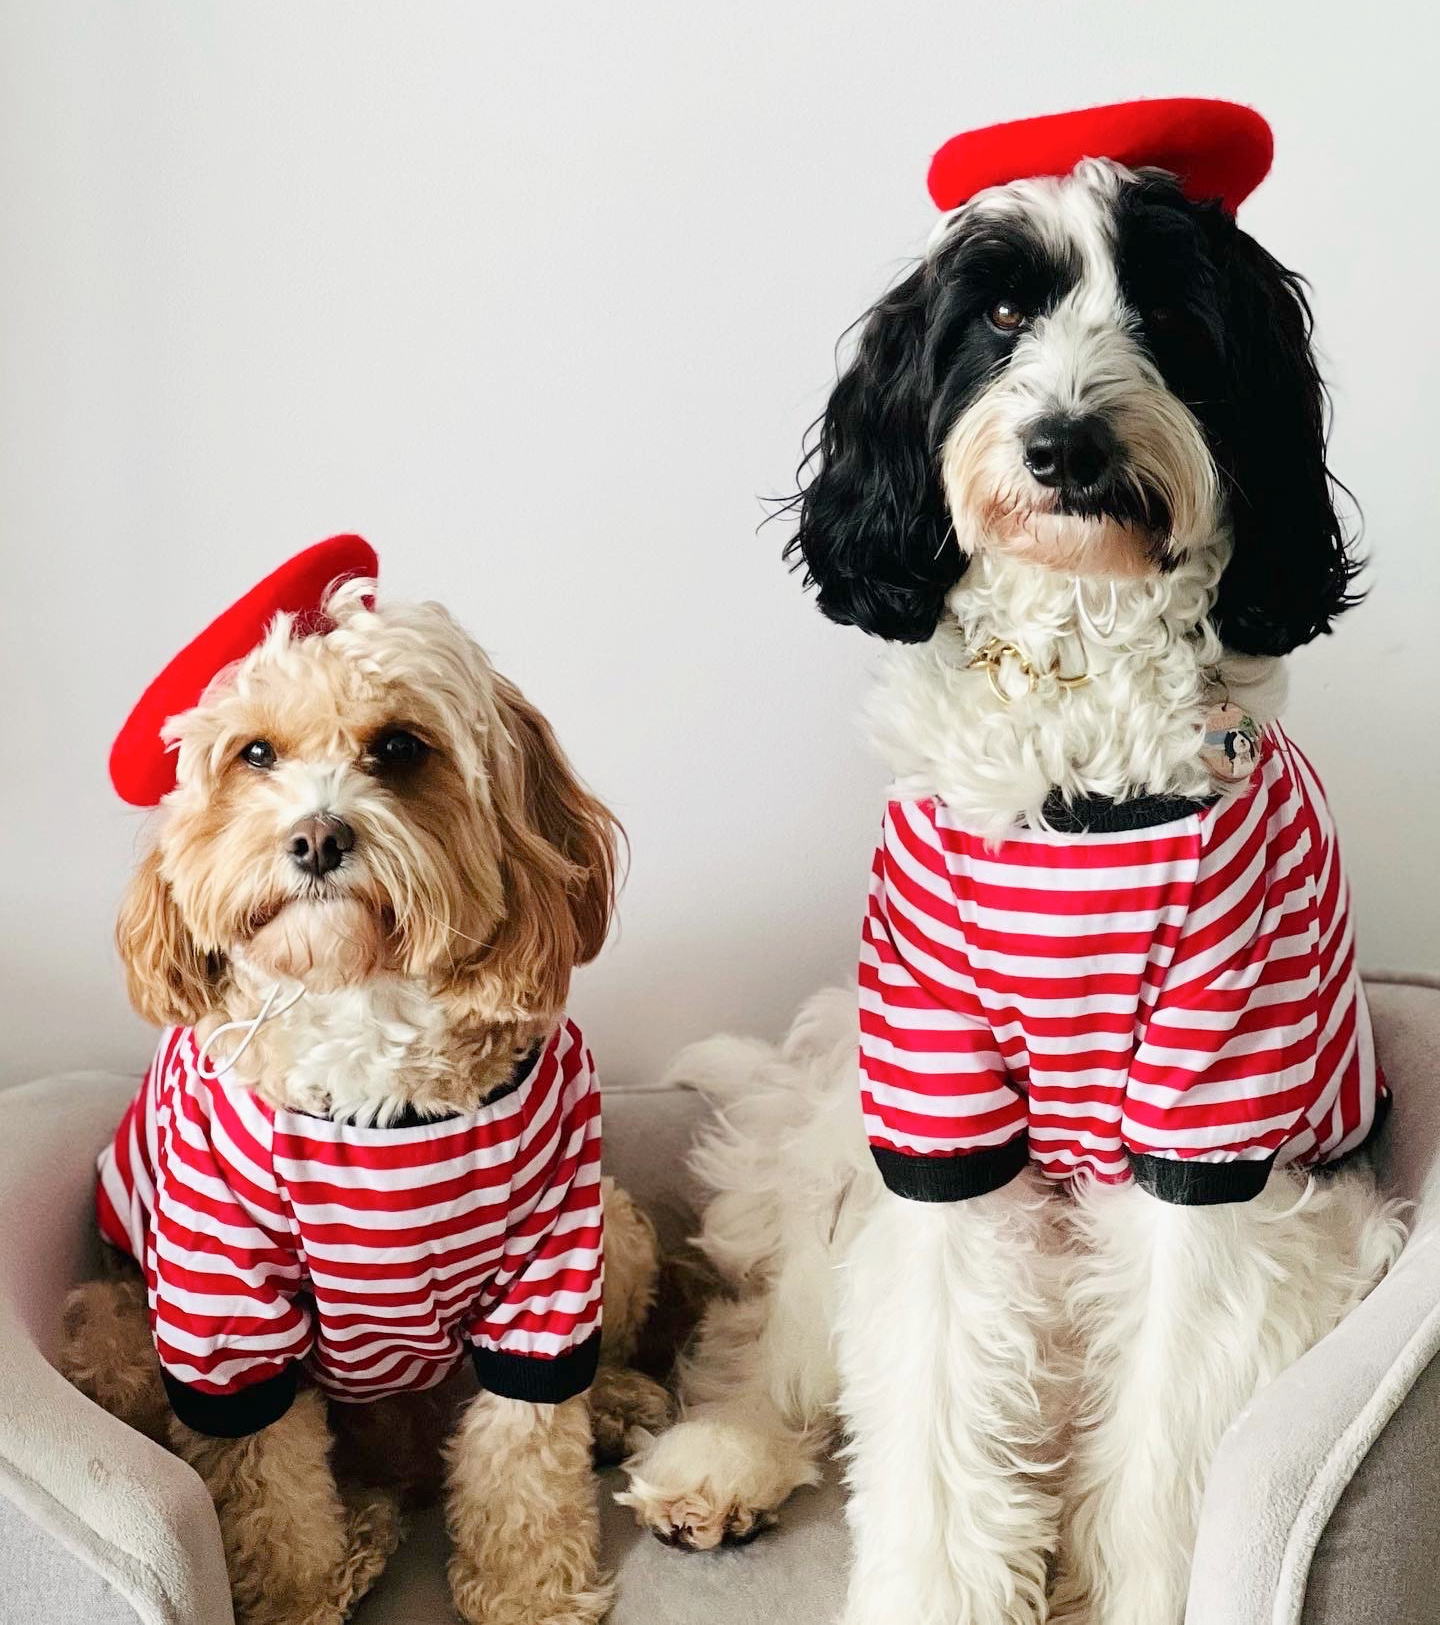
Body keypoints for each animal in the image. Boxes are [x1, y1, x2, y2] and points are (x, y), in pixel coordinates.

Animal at [624, 139, 1410, 1625]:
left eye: (1168, 309)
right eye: (998, 312)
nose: (1067, 444)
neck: (1078, 711)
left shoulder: (1209, 1139)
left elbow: (1166, 1422)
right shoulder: (938, 1120)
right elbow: (931, 1402)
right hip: (841, 1147)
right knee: (767, 1338)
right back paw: (721, 1458)